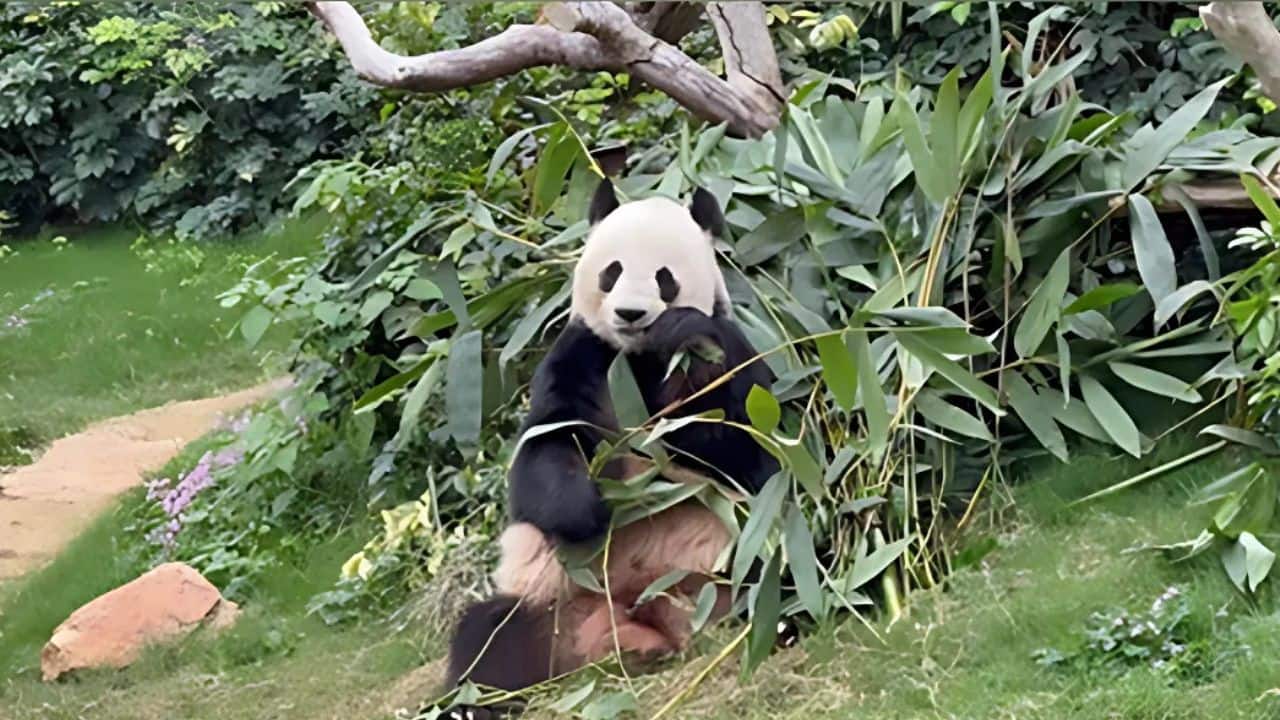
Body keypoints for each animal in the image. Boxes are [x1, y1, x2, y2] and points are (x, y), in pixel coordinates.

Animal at [443, 179, 780, 712]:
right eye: (612, 271)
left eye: (665, 278)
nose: (630, 313)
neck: (638, 357)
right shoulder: (584, 355)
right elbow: (548, 445)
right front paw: (592, 506)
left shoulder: (725, 353)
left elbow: (743, 440)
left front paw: (685, 336)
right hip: (552, 601)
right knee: (490, 640)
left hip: (734, 556)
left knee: (773, 571)